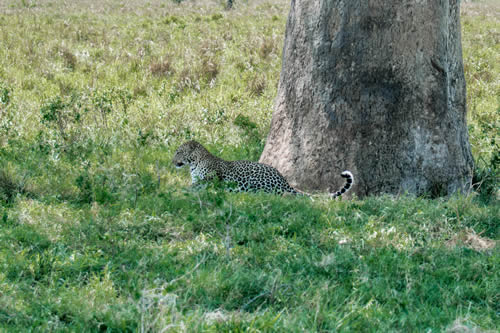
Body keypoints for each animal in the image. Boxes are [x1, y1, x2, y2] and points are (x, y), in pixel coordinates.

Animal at [174, 139, 354, 197]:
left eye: (178, 152)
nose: (172, 160)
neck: (194, 164)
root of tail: (284, 181)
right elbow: (194, 183)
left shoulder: (213, 177)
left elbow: (197, 184)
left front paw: (181, 189)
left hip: (254, 179)